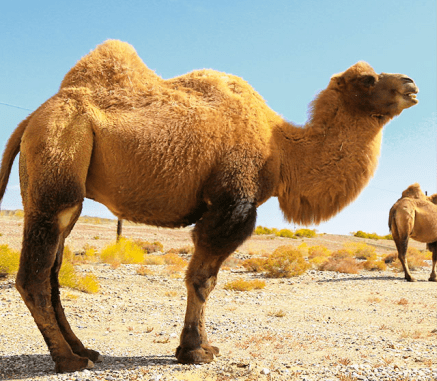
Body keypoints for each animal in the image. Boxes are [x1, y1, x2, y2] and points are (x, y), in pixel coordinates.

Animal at [0, 39, 418, 372]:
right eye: (368, 79)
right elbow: (202, 279)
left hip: (63, 183)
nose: (412, 84)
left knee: (53, 272)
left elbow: (206, 279)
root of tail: (31, 119)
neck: (281, 148)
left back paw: (84, 350)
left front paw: (200, 347)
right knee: (34, 275)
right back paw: (67, 360)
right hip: (58, 163)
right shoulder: (233, 202)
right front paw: (195, 351)